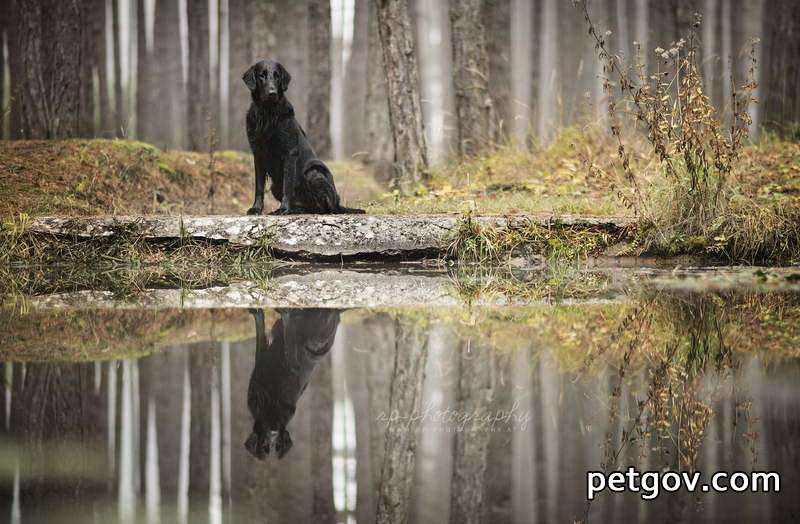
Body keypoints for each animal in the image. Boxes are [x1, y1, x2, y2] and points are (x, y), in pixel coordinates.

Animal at [241, 60, 366, 216]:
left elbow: (288, 185)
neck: (268, 113)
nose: (272, 93)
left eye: (277, 76)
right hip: (275, 186)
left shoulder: (289, 153)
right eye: (261, 75)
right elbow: (259, 187)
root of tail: (337, 203)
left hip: (314, 172)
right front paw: (256, 208)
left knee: (323, 208)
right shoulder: (258, 154)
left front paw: (284, 209)